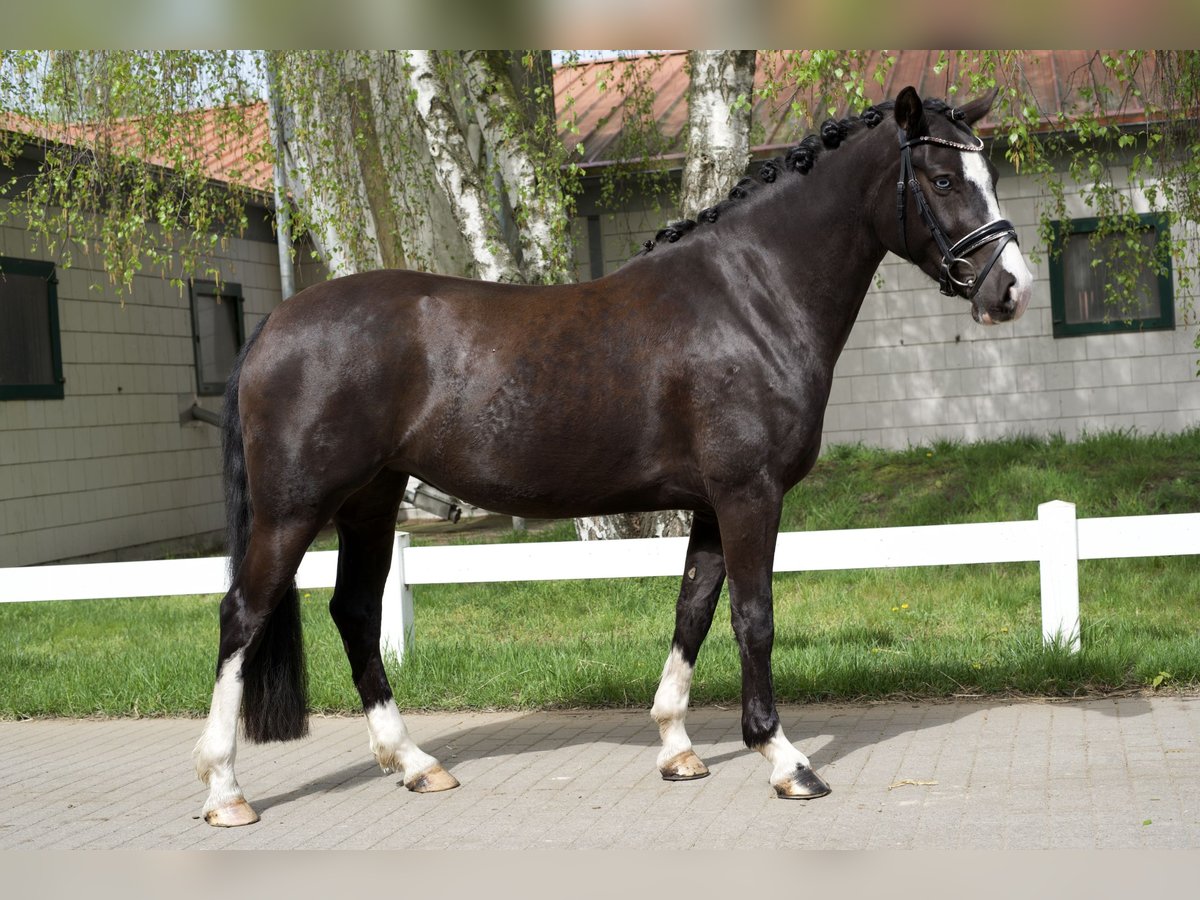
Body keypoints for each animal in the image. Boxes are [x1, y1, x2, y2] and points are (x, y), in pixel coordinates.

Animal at [194, 88, 1032, 830]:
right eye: (944, 179)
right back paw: (225, 790)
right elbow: (754, 618)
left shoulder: (710, 505)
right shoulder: (749, 494)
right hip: (295, 507)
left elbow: (693, 610)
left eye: (988, 174)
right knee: (243, 614)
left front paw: (677, 748)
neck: (750, 298)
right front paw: (785, 760)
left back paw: (414, 763)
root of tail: (276, 323)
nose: (1012, 289)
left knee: (356, 613)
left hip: (371, 500)